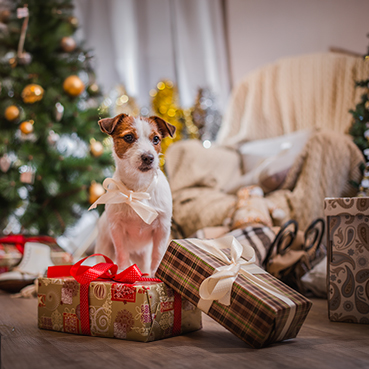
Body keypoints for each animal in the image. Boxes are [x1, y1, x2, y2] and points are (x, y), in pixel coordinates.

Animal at [94, 113, 176, 274]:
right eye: (129, 137)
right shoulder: (117, 229)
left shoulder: (162, 228)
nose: (149, 157)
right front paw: (124, 272)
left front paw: (155, 274)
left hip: (142, 254)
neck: (138, 190)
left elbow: (158, 255)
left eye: (156, 139)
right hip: (104, 247)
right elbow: (122, 254)